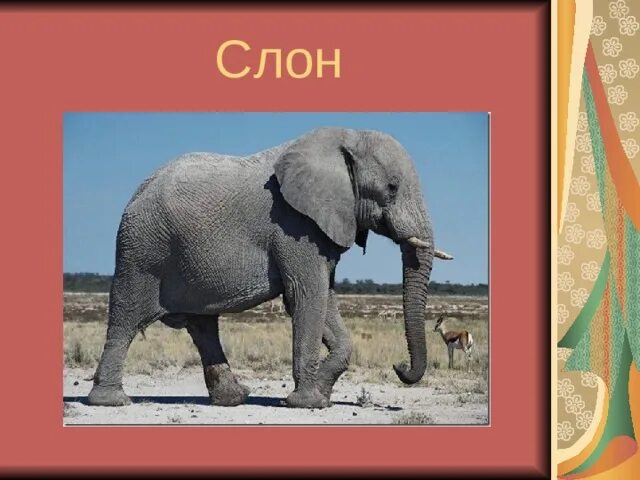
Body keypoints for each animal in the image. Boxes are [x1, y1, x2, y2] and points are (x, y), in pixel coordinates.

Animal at [87, 127, 453, 409]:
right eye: (391, 187)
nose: (399, 366)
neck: (344, 139)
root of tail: (138, 191)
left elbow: (324, 298)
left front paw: (322, 395)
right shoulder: (295, 225)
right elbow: (307, 296)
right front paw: (308, 403)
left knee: (203, 326)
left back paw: (233, 399)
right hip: (141, 251)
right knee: (126, 318)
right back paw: (111, 402)